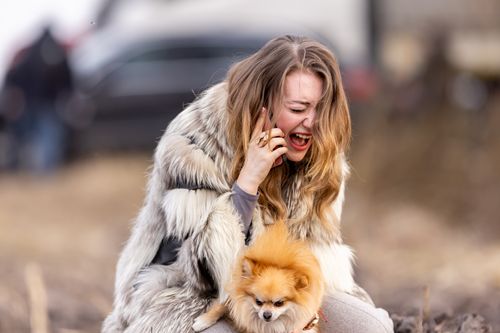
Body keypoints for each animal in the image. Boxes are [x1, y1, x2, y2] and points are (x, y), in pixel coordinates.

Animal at [191, 219, 324, 330]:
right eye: (258, 302)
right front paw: (203, 321)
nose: (267, 315)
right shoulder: (233, 292)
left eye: (279, 303)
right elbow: (220, 306)